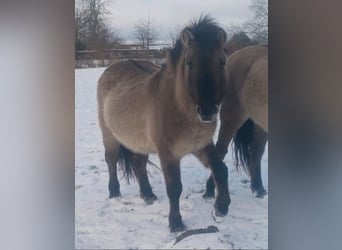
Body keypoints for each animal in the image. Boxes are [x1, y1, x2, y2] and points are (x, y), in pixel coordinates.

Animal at [203, 46, 268, 198]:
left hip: (259, 123)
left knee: (257, 151)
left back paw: (258, 188)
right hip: (232, 118)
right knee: (221, 149)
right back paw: (209, 190)